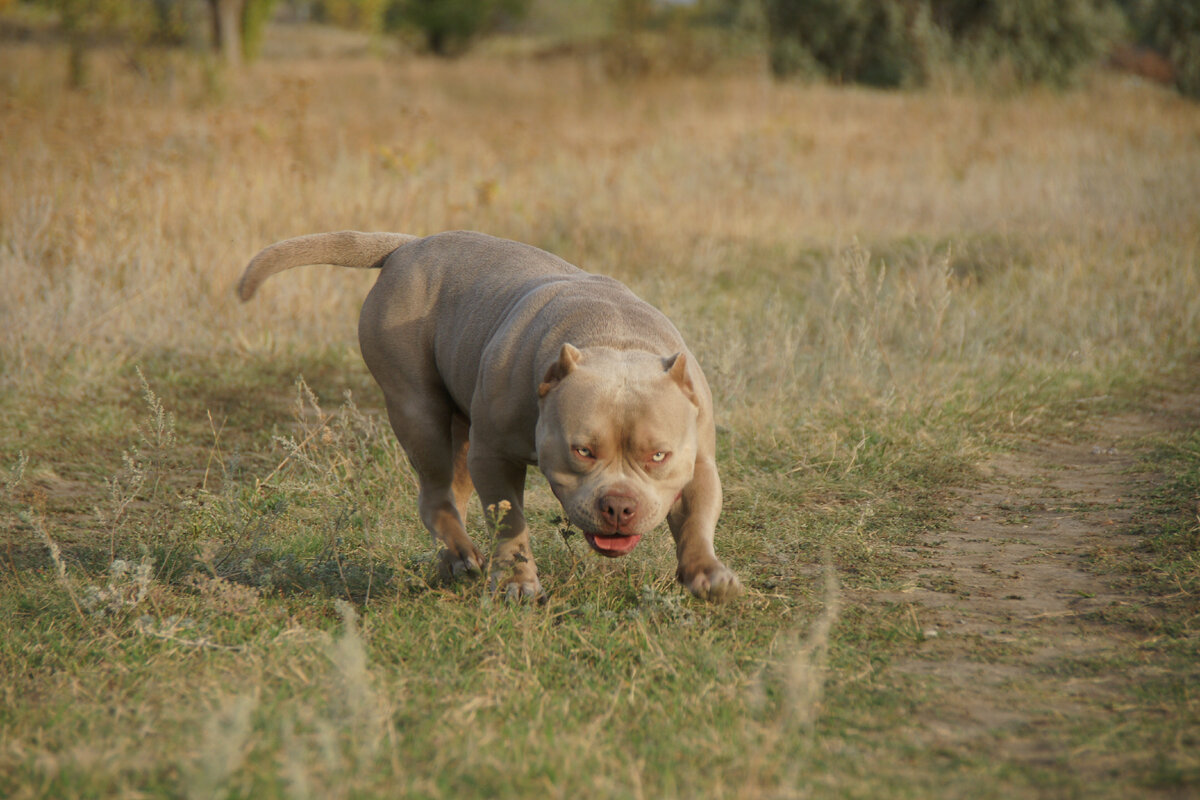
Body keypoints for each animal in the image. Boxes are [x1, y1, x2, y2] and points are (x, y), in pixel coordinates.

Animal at [235, 231, 739, 599]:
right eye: (582, 451)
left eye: (658, 456)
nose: (618, 506)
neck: (611, 339)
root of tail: (408, 245)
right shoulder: (493, 457)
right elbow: (510, 520)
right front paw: (518, 583)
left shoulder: (700, 462)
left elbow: (697, 519)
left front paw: (707, 572)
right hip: (419, 410)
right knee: (434, 492)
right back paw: (462, 556)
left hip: (459, 425)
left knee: (451, 494)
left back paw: (452, 560)